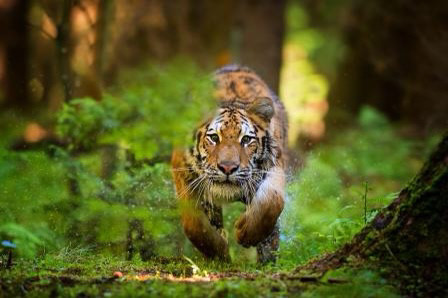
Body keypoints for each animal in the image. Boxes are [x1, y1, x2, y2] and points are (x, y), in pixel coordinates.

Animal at [172, 63, 288, 264]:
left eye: (246, 139)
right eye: (213, 137)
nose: (227, 167)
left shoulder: (274, 166)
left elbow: (272, 202)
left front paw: (244, 233)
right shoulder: (182, 171)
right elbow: (193, 223)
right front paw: (219, 252)